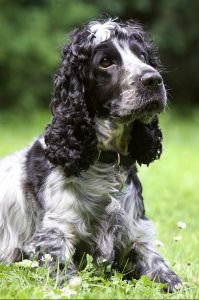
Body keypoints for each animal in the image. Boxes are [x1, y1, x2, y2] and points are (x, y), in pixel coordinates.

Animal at [0, 18, 182, 290]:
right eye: (105, 61)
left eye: (142, 56)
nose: (154, 80)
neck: (105, 163)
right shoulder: (53, 235)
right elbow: (68, 278)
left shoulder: (136, 235)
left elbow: (169, 277)